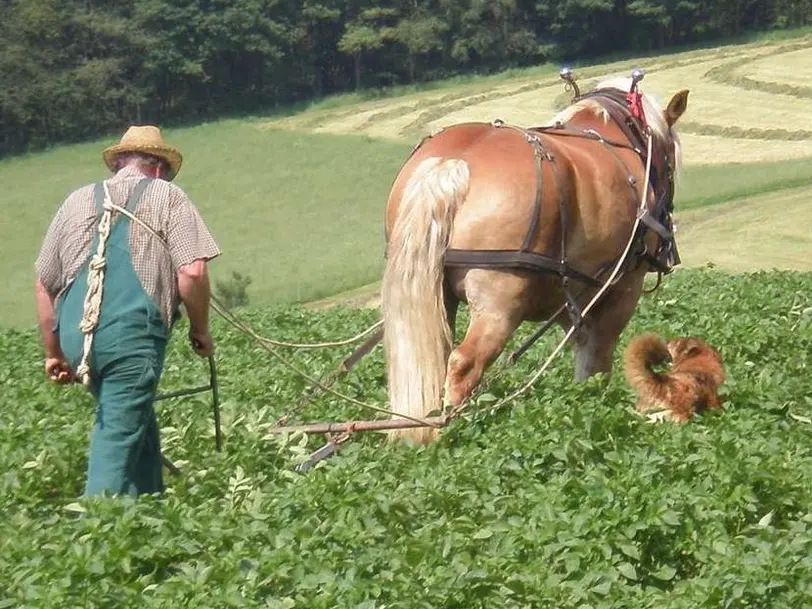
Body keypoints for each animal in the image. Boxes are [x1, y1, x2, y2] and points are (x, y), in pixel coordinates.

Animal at [384, 73, 688, 442]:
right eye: (671, 163)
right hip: (500, 302)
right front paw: (597, 408)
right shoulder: (621, 287)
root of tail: (451, 164)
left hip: (435, 295)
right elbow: (597, 358)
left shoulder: (573, 295)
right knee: (464, 365)